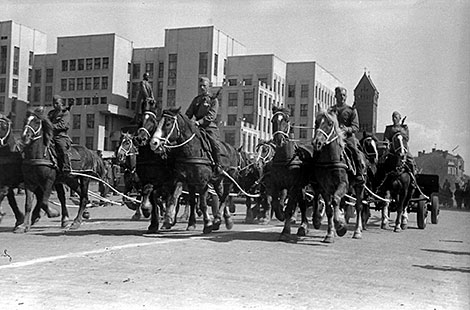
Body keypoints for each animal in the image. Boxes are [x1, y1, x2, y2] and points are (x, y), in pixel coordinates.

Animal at [310, 109, 366, 242]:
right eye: (316, 122)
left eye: (330, 123)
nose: (317, 142)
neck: (331, 160)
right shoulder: (325, 188)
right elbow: (329, 209)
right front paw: (330, 234)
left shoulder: (343, 184)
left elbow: (336, 200)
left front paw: (340, 225)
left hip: (359, 186)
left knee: (359, 206)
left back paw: (357, 231)